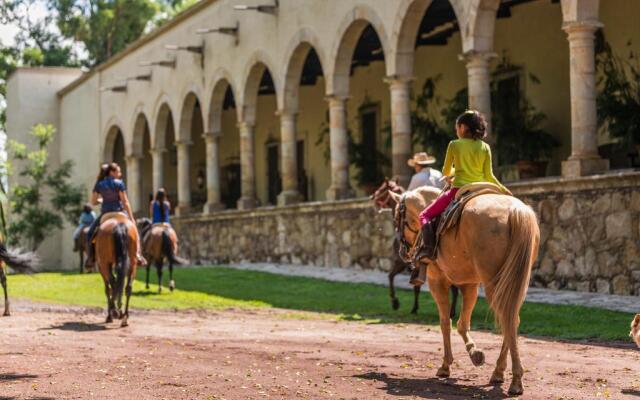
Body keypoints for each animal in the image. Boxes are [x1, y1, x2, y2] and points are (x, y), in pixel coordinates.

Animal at [390, 186, 540, 396]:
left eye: (397, 217)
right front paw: (474, 353)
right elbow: (462, 323)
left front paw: (446, 365)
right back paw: (499, 372)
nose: (402, 251)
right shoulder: (469, 285)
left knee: (507, 319)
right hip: (515, 282)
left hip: (495, 283)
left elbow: (445, 322)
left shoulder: (437, 282)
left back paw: (516, 381)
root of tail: (515, 211)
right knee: (511, 319)